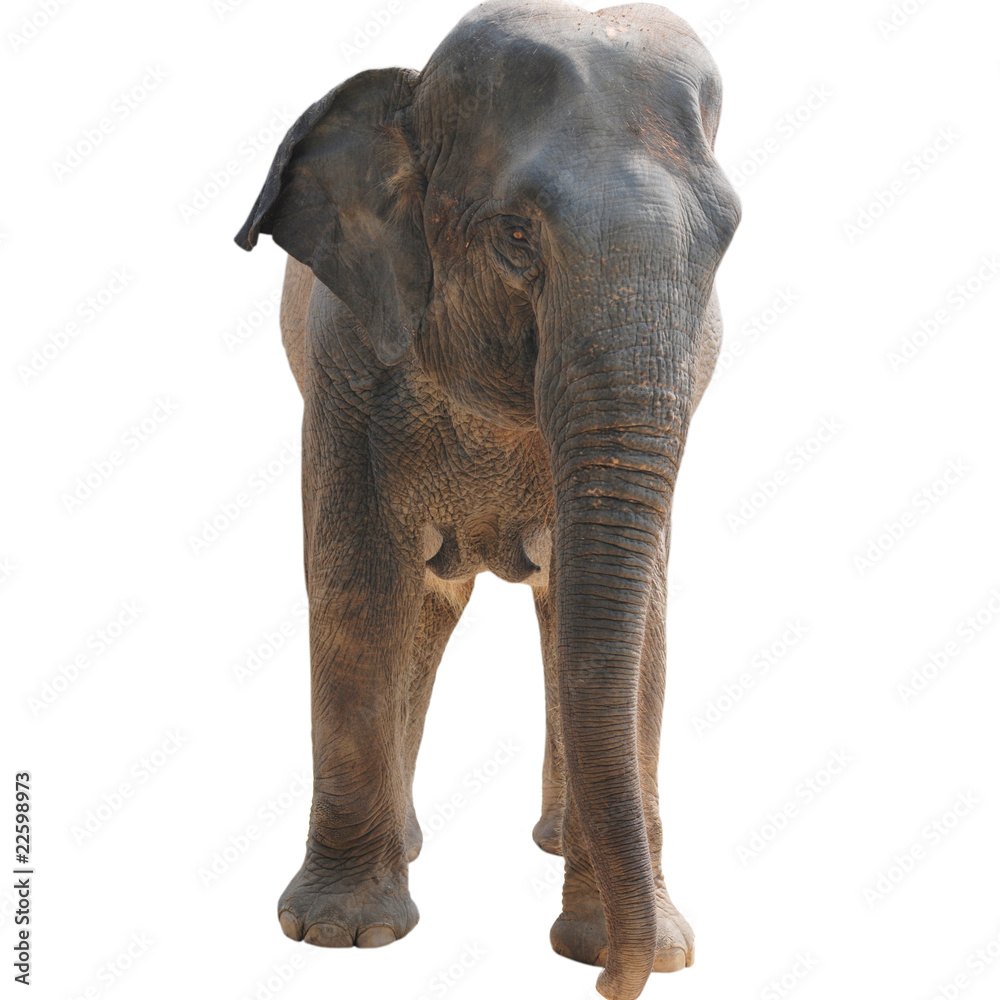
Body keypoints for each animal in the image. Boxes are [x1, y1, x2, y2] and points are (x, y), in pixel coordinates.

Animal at [234, 2, 739, 998]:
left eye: (726, 239)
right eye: (514, 236)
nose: (613, 983)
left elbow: (636, 625)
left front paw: (641, 947)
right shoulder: (345, 367)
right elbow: (355, 587)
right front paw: (338, 936)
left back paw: (544, 844)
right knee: (423, 606)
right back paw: (409, 849)